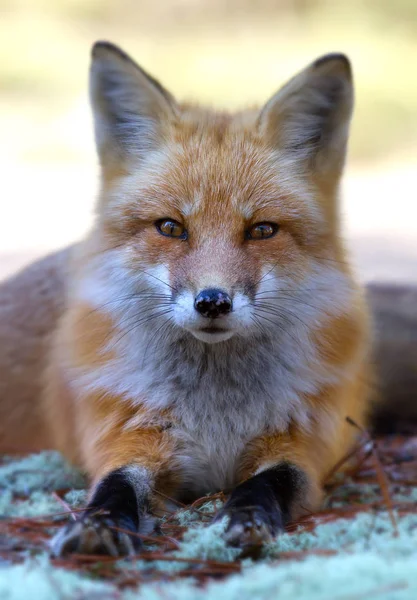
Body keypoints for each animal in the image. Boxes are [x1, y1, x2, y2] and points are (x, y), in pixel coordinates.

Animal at [0, 42, 372, 556]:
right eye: (171, 227)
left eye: (262, 230)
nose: (212, 301)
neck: (215, 416)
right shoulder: (124, 437)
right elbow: (114, 484)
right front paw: (100, 523)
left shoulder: (309, 446)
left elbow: (271, 481)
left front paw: (247, 515)